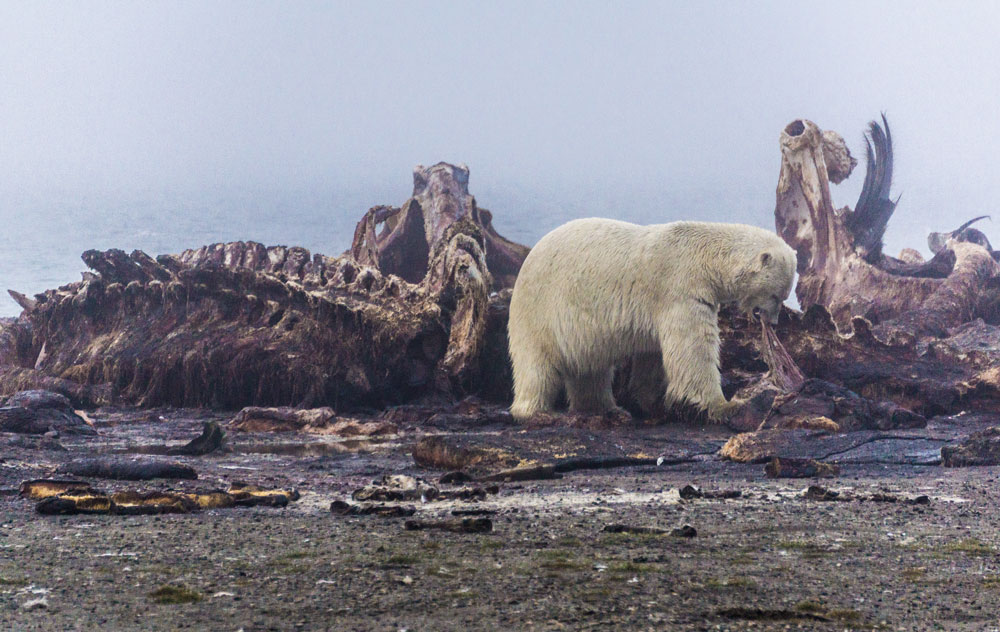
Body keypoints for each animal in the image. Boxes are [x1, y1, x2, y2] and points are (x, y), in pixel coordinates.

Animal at [508, 220, 796, 422]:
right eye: (776, 295)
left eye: (783, 296)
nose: (773, 322)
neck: (703, 258)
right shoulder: (681, 291)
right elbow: (693, 350)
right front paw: (726, 406)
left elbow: (653, 357)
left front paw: (652, 402)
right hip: (540, 310)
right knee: (537, 366)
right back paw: (538, 413)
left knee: (589, 368)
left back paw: (606, 408)